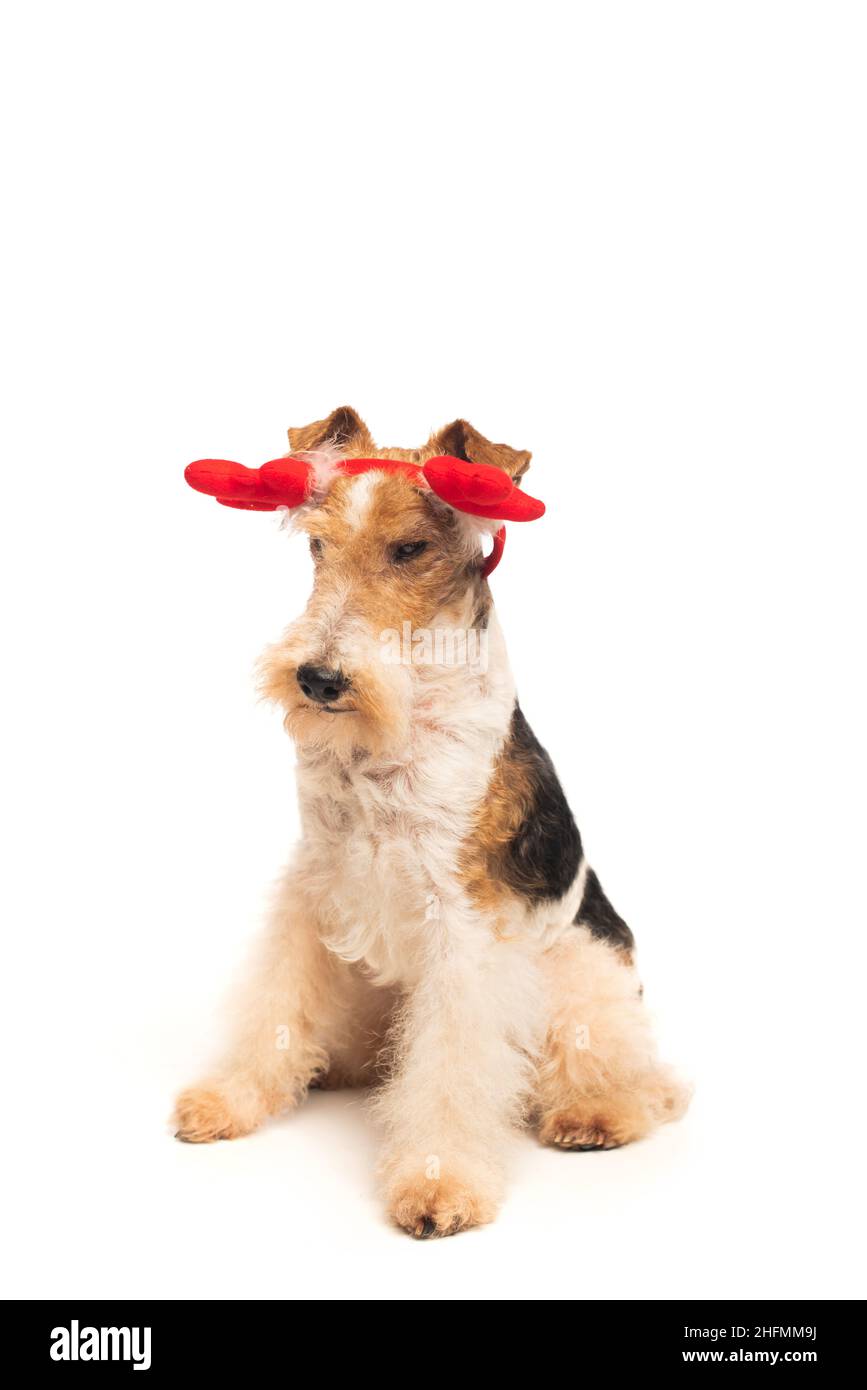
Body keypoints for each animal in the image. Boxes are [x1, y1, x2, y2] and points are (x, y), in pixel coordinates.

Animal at [174, 408, 691, 1239]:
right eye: (317, 545)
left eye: (410, 549)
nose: (318, 680)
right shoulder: (315, 881)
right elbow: (275, 1004)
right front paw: (229, 1099)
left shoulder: (463, 920)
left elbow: (451, 1068)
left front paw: (437, 1184)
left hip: (584, 970)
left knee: (647, 1082)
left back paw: (595, 1113)